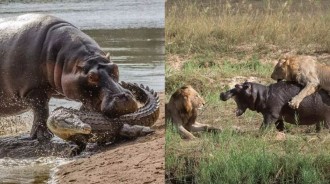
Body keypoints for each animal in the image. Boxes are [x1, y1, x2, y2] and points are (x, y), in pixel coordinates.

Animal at [0, 14, 138, 141]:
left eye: (115, 67)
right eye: (91, 77)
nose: (123, 97)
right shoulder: (34, 90)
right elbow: (41, 111)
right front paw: (43, 137)